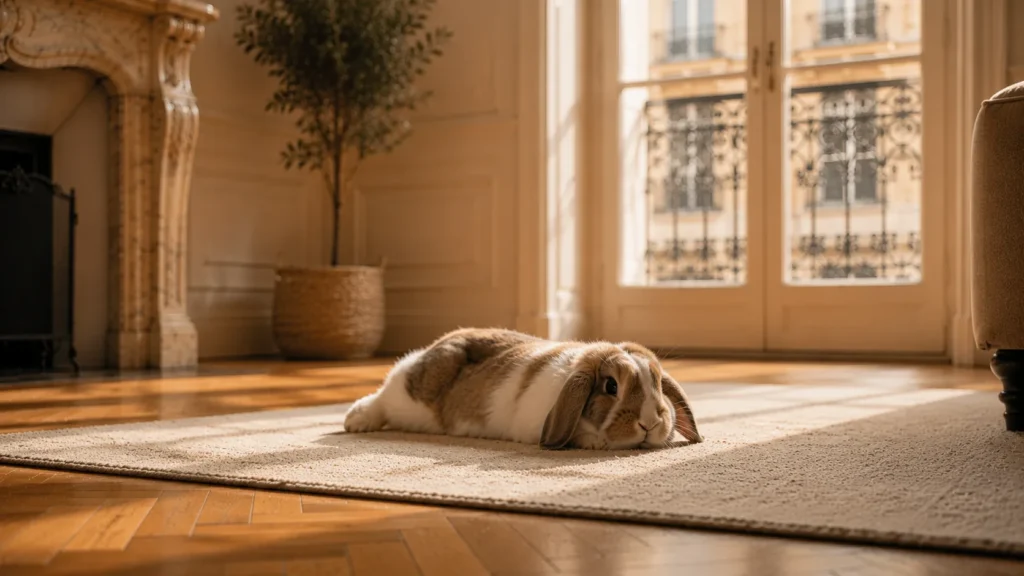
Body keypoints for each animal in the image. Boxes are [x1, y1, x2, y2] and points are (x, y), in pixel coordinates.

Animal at [343, 327, 703, 450]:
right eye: (611, 386)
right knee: (383, 396)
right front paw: (594, 442)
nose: (650, 424)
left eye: (658, 383)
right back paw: (354, 421)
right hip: (410, 395)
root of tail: (438, 345)